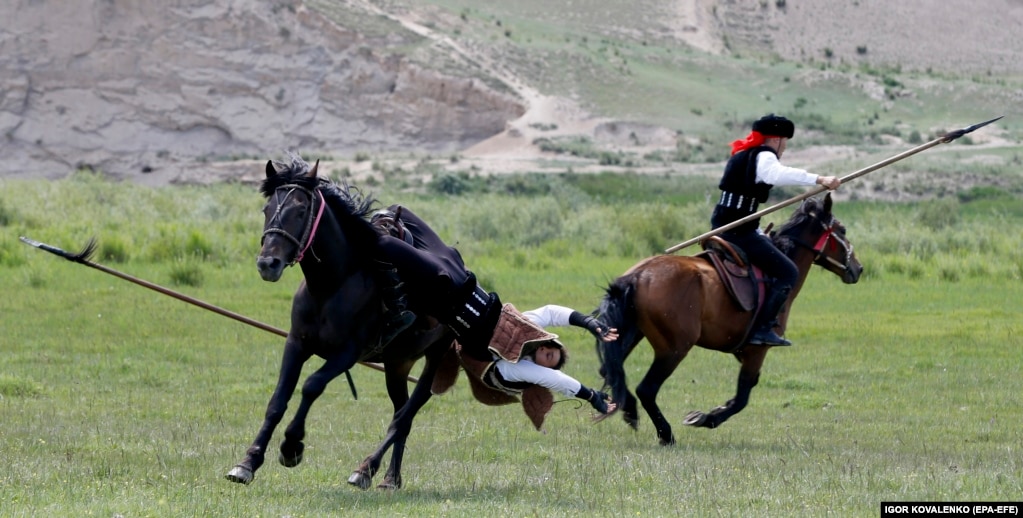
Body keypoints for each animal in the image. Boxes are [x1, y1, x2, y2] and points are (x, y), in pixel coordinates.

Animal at [230, 153, 458, 489]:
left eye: (301, 210)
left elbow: (311, 386)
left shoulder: (347, 354)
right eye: (267, 209)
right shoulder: (296, 344)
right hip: (397, 364)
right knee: (400, 411)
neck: (329, 287)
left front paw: (292, 446)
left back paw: (366, 469)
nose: (267, 264)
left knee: (405, 417)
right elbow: (278, 399)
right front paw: (248, 462)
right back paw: (389, 478)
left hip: (434, 359)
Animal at [597, 194, 859, 444]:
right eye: (843, 230)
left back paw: (629, 410)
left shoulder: (742, 349)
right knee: (647, 389)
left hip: (630, 335)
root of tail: (637, 276)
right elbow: (743, 394)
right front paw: (706, 418)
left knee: (610, 370)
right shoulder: (757, 350)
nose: (858, 268)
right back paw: (666, 434)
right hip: (674, 349)